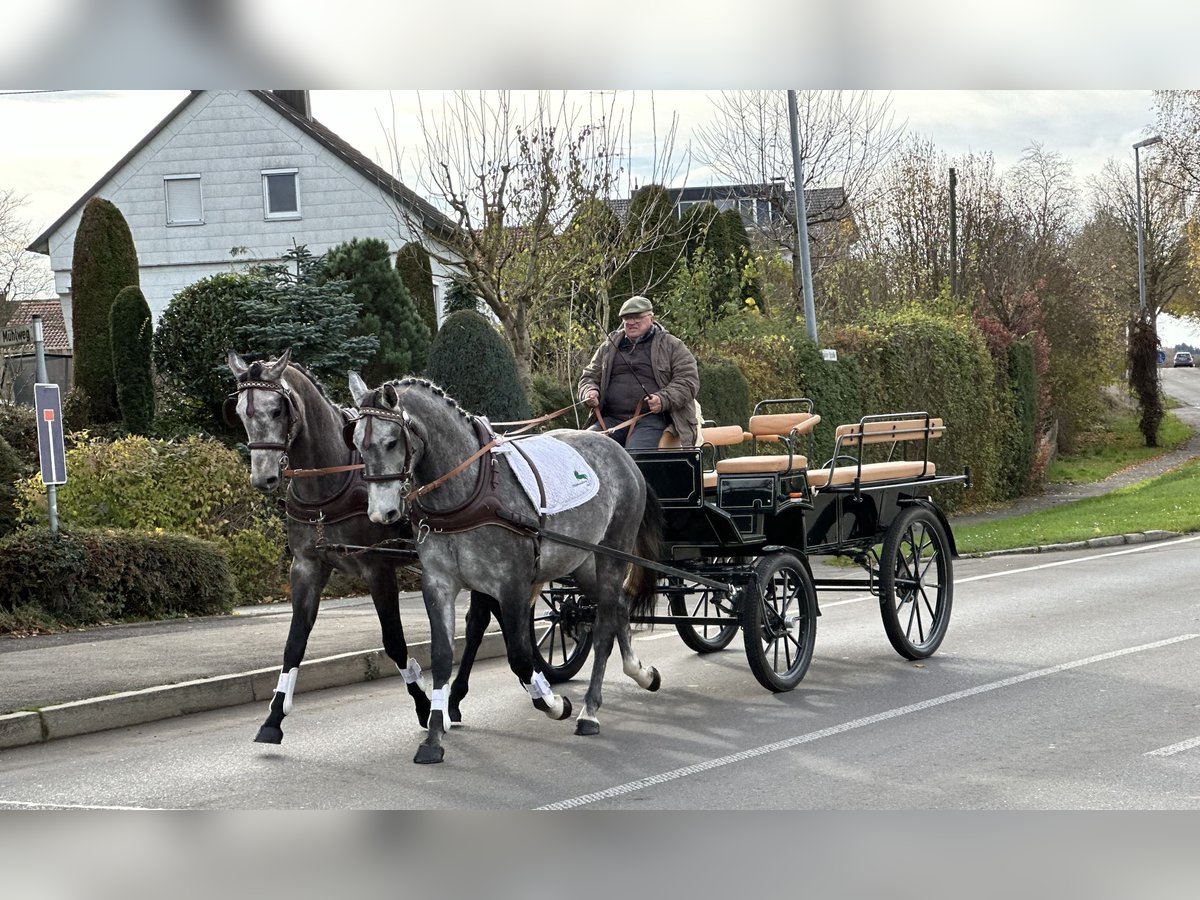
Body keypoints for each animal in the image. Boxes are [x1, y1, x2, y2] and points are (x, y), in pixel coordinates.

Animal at [224, 352, 496, 748]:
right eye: (240, 413)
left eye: (276, 410)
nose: (263, 477)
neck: (330, 482)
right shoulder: (306, 566)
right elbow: (294, 642)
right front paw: (273, 717)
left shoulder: (376, 568)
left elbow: (394, 641)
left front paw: (423, 705)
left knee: (478, 622)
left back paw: (459, 696)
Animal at [348, 374, 667, 768]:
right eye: (356, 443)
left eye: (391, 442)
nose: (382, 514)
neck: (469, 489)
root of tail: (621, 452)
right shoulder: (438, 584)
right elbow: (442, 657)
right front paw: (434, 736)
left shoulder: (512, 584)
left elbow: (518, 656)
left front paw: (553, 702)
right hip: (581, 562)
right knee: (618, 606)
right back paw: (640, 672)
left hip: (612, 554)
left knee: (605, 624)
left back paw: (590, 710)